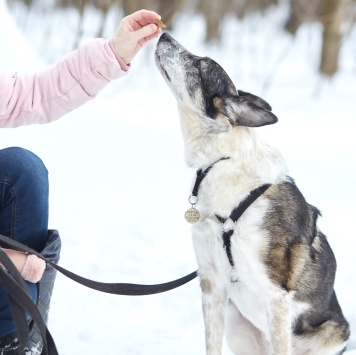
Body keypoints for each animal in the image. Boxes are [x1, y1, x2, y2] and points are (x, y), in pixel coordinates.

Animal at [155, 32, 348, 354]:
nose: (164, 34)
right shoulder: (212, 284)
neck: (221, 161)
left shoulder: (276, 296)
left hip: (333, 333)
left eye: (200, 64)